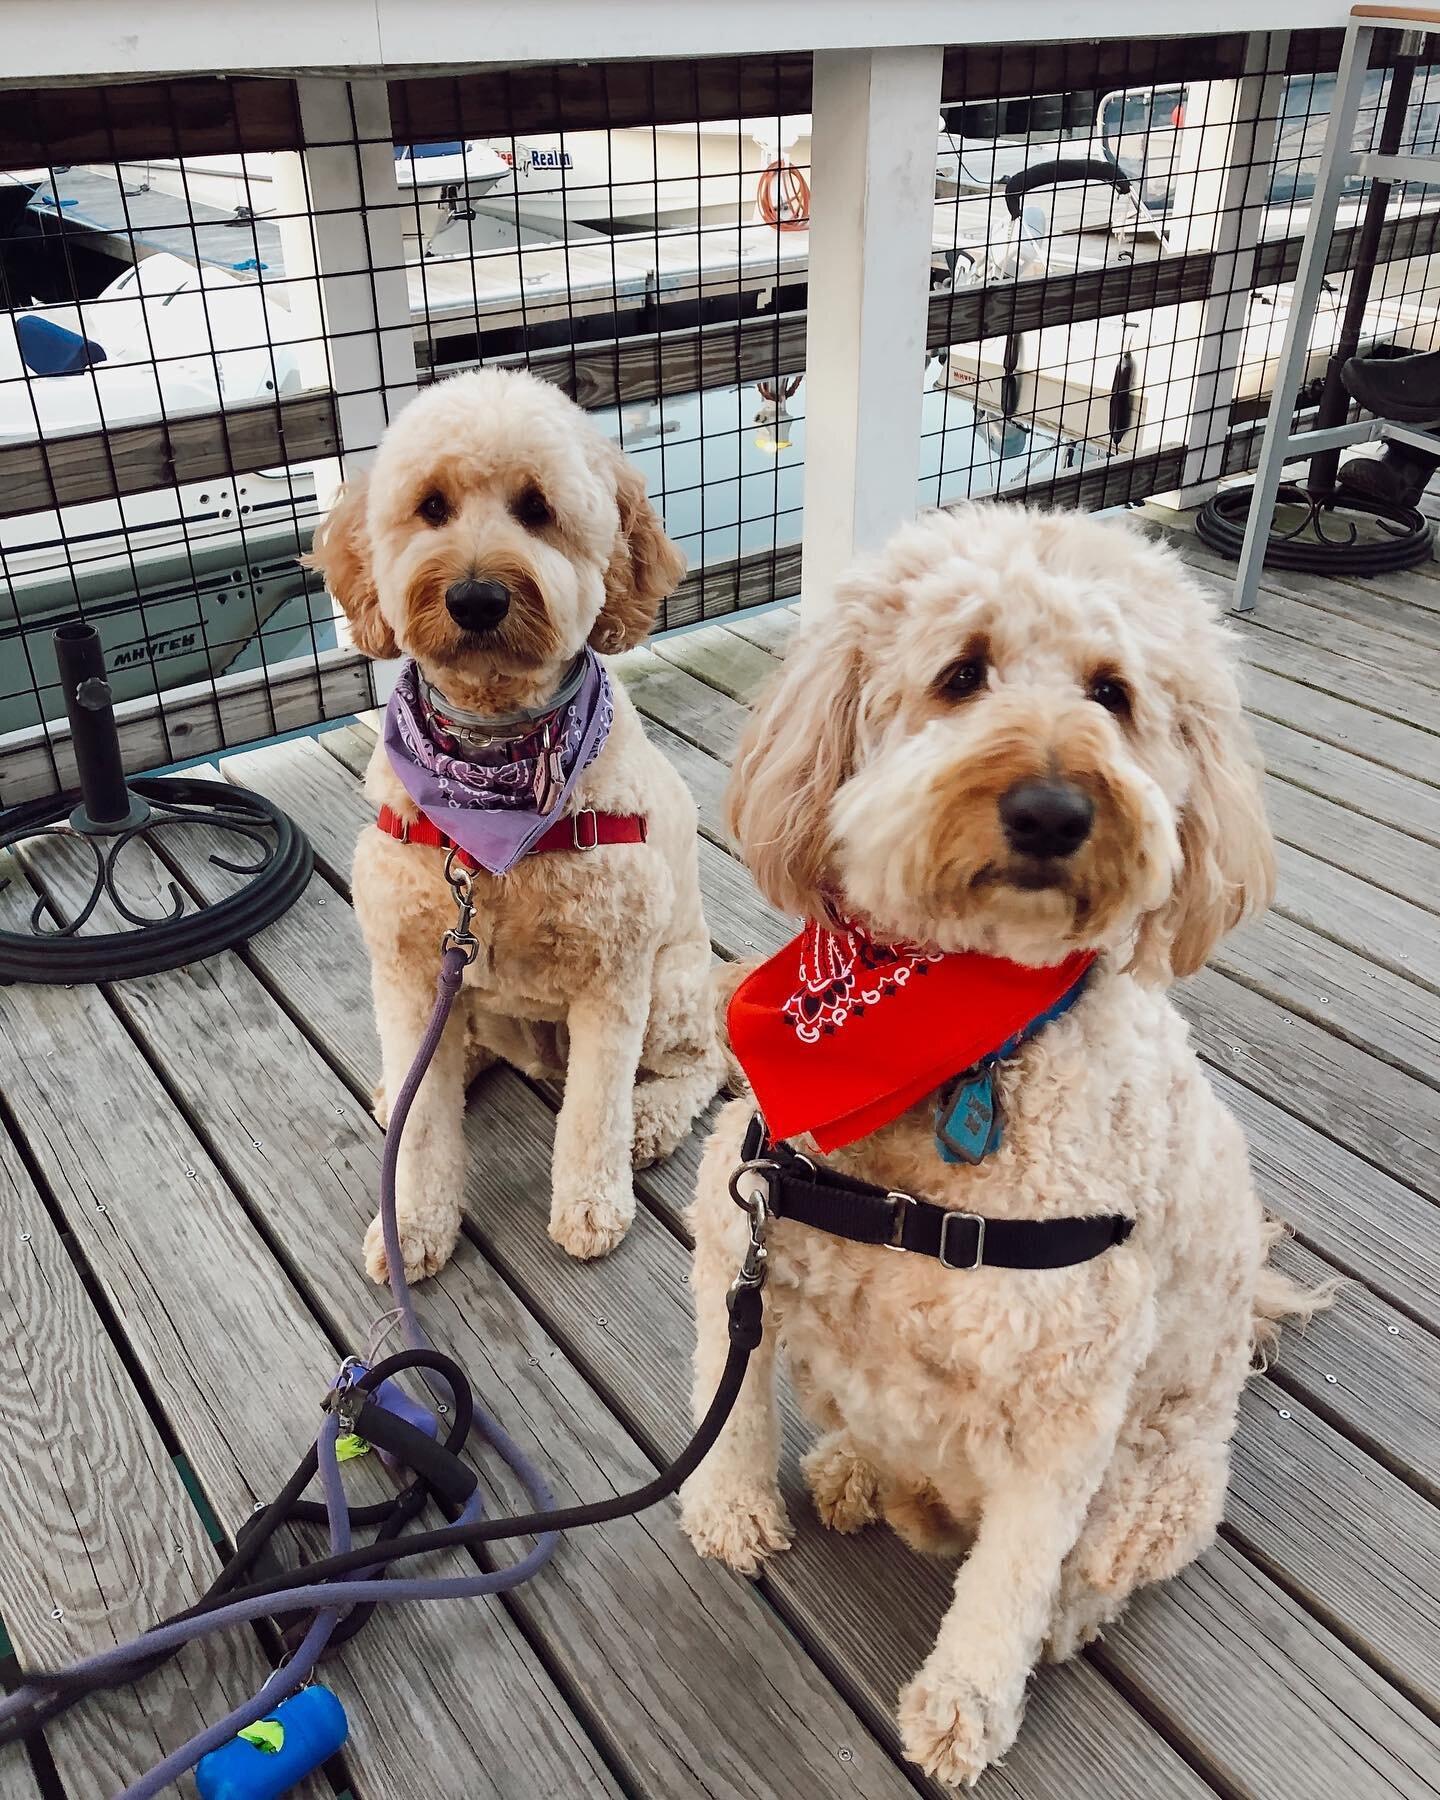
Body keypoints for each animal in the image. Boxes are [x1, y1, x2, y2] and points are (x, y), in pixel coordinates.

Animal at [311, 369, 727, 1281]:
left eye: (537, 509)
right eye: (431, 506)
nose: (475, 597)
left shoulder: (615, 978)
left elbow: (594, 1112)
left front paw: (592, 1209)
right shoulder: (407, 968)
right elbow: (424, 1132)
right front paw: (412, 1223)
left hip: (673, 983)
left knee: (704, 1060)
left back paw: (651, 1123)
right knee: (440, 1060)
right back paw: (407, 1081)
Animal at [680, 504, 1324, 1785]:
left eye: (1114, 693)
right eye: (962, 674)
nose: (1053, 810)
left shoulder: (1065, 1411)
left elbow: (1010, 1578)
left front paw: (963, 1706)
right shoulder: (742, 1239)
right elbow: (730, 1400)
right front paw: (731, 1512)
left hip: (1159, 1487)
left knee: (1085, 1572)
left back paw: (1055, 1620)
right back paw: (852, 1469)